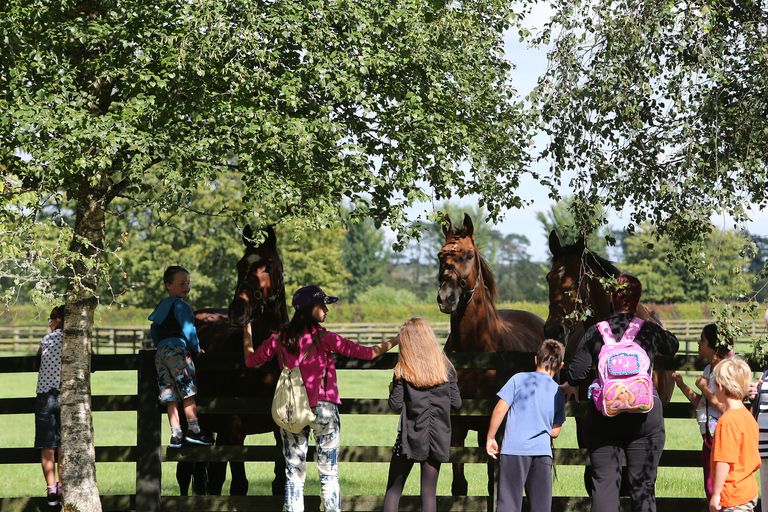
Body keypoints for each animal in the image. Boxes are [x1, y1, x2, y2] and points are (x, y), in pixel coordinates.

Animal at [178, 225, 290, 496]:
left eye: (268, 266)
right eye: (240, 265)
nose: (238, 310)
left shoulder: (280, 430)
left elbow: (279, 484)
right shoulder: (234, 428)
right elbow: (238, 485)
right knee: (186, 474)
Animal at [438, 213, 544, 496]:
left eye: (468, 255)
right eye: (441, 255)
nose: (446, 298)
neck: (477, 353)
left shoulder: (493, 425)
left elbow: (493, 481)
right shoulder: (459, 426)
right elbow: (459, 485)